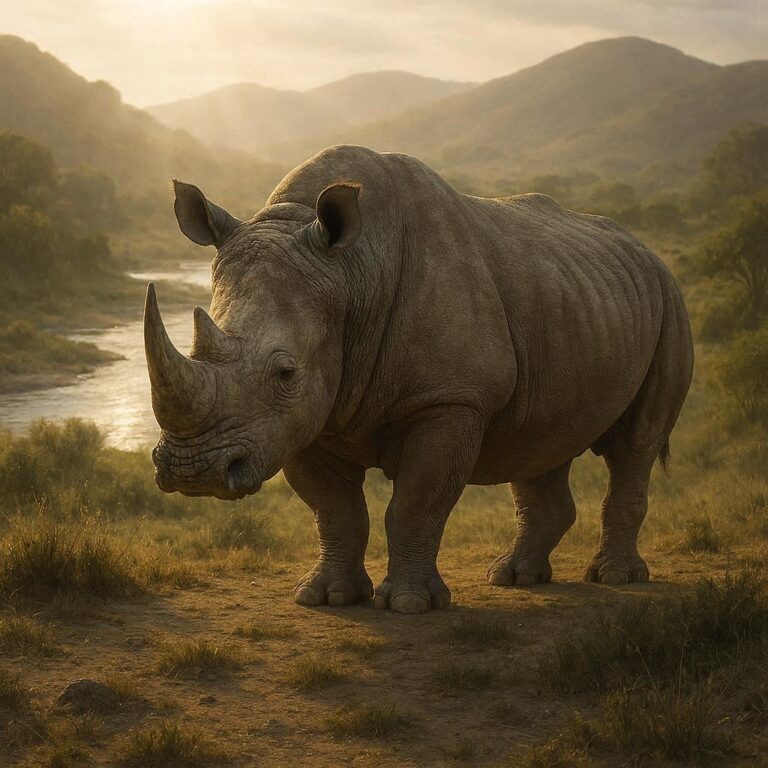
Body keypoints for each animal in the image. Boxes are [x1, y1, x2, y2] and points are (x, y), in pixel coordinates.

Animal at [145, 145, 693, 614]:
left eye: (286, 372)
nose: (194, 472)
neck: (351, 273)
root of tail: (646, 252)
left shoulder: (449, 399)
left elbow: (415, 502)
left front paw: (409, 604)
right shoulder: (302, 418)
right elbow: (335, 510)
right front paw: (326, 597)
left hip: (668, 300)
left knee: (634, 446)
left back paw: (615, 577)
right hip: (573, 296)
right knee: (541, 440)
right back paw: (514, 577)